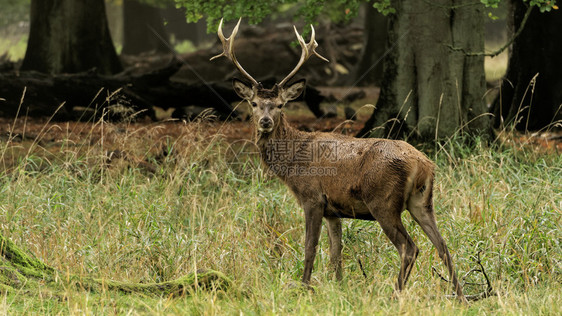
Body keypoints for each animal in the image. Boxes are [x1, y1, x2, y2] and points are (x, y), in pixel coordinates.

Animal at [210, 19, 464, 302]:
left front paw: (305, 287)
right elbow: (335, 253)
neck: (291, 163)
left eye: (279, 105)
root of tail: (423, 164)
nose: (265, 121)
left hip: (383, 201)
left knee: (409, 247)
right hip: (422, 201)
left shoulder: (312, 197)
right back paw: (461, 296)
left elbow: (310, 246)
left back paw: (395, 294)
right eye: (254, 103)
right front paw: (338, 288)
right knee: (443, 245)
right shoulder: (334, 210)